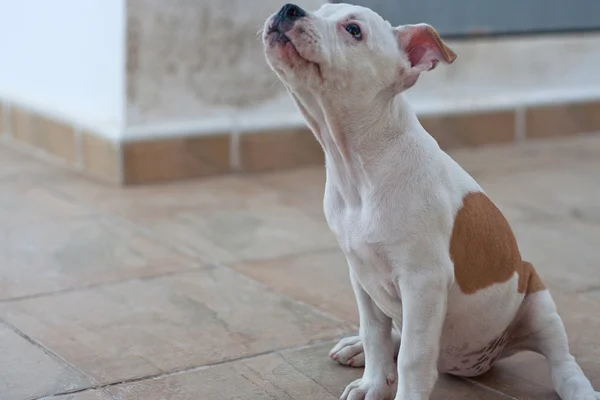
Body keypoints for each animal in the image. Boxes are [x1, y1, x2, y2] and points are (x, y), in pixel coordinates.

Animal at [264, 3, 600, 400]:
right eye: (318, 8)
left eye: (354, 30)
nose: (289, 8)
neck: (359, 164)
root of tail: (481, 360)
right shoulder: (361, 275)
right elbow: (375, 335)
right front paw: (373, 383)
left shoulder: (423, 281)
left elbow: (414, 356)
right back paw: (356, 347)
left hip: (537, 298)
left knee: (562, 360)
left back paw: (578, 388)